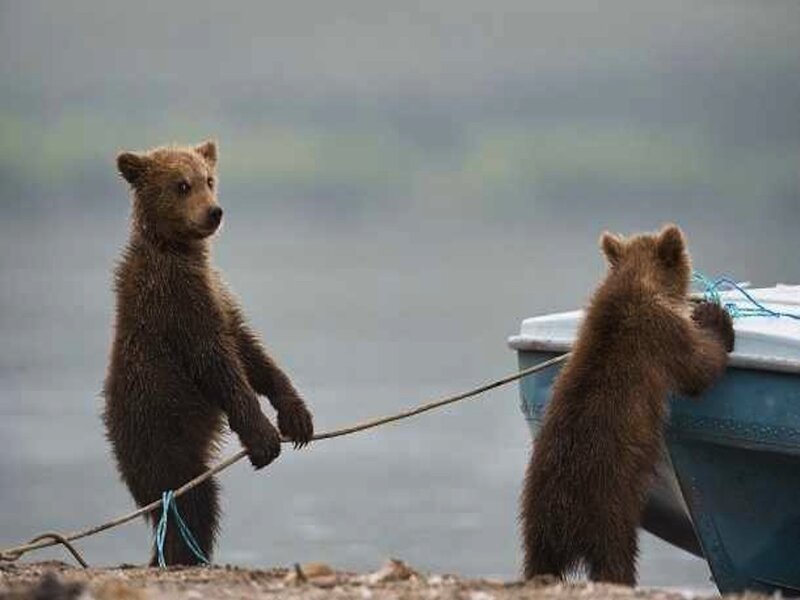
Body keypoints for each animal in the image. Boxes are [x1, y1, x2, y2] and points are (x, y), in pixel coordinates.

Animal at [103, 140, 314, 566]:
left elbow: (250, 351)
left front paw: (296, 414)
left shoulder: (217, 292)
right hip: (160, 436)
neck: (176, 249)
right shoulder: (176, 302)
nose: (214, 212)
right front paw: (263, 436)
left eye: (209, 179)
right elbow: (218, 363)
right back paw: (184, 554)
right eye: (181, 184)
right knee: (193, 502)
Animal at [519, 224, 734, 585]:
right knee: (616, 556)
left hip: (537, 517)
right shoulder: (660, 332)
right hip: (610, 504)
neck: (636, 283)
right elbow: (698, 367)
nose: (701, 298)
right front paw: (715, 318)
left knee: (539, 559)